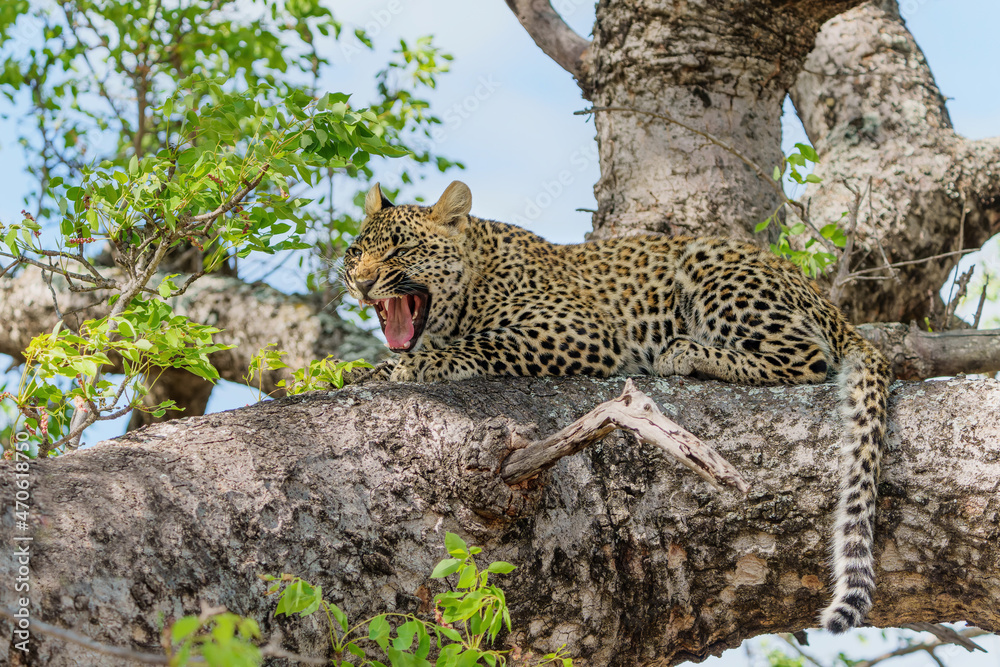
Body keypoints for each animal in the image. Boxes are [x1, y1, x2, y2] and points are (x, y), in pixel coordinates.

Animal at [342, 180, 893, 634]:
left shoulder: (580, 330)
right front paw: (356, 370)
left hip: (712, 265)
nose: (362, 282)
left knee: (806, 357)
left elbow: (477, 345)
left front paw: (409, 368)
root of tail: (829, 305)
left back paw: (684, 352)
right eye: (356, 251)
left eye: (401, 250)